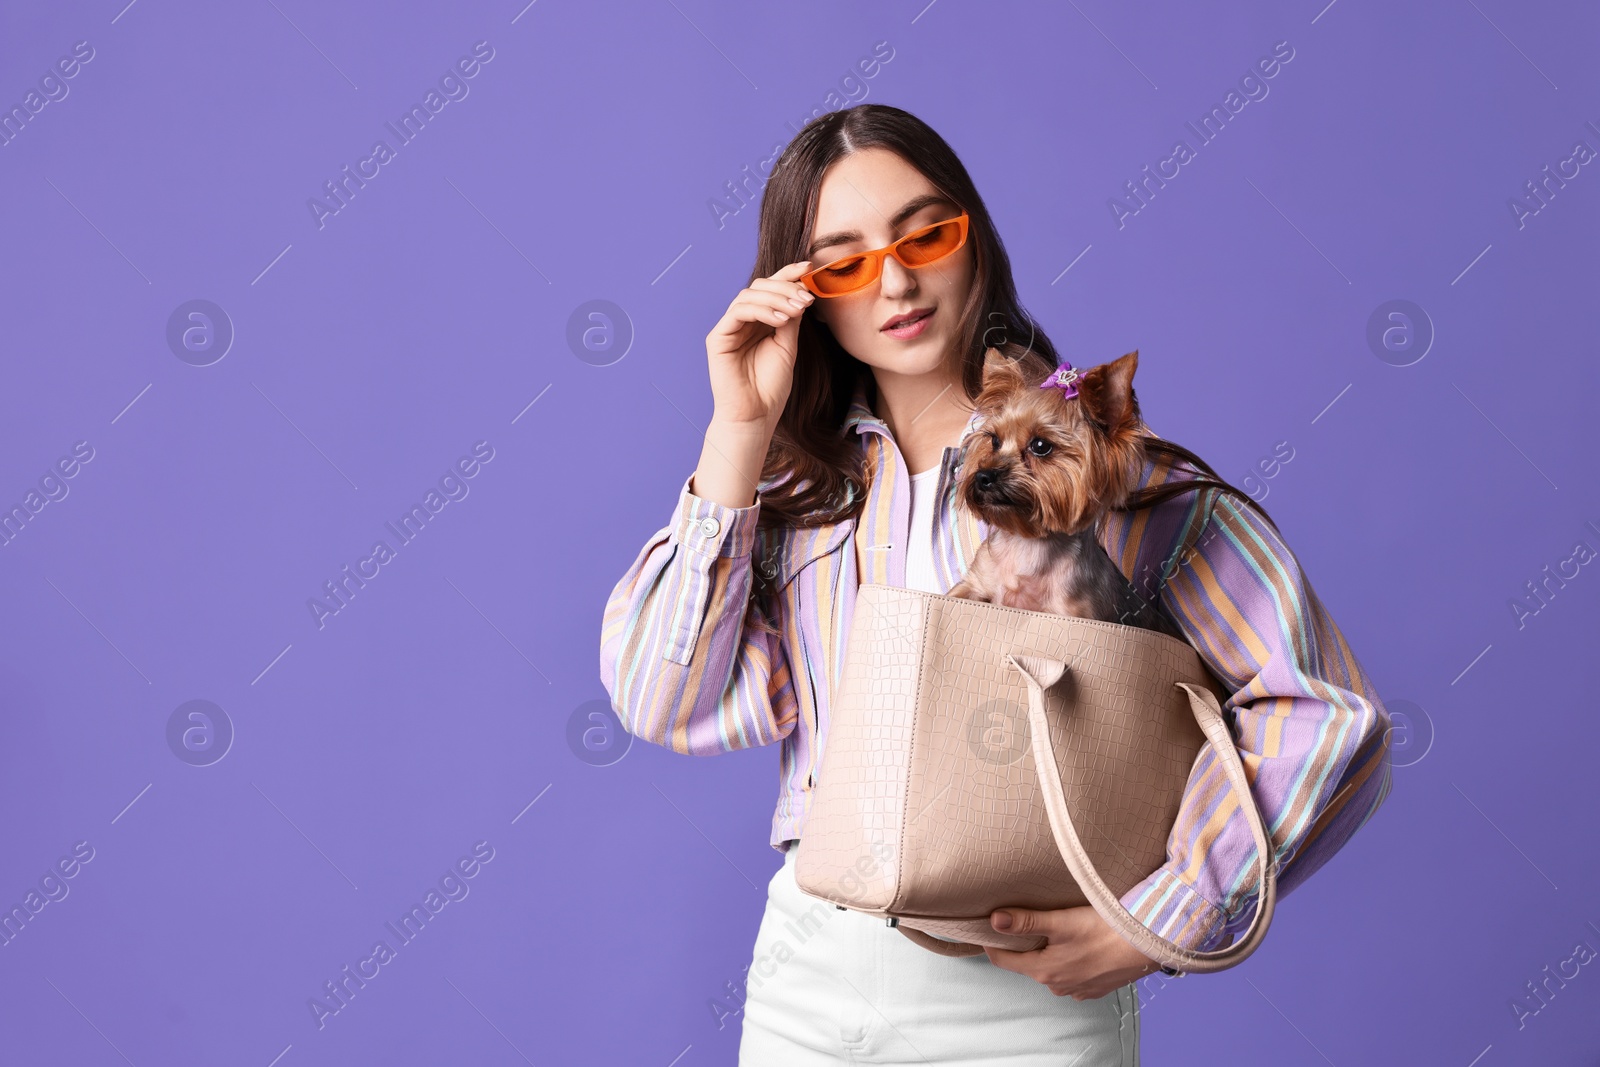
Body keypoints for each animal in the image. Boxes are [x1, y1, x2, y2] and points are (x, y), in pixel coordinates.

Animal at [940, 347, 1184, 639]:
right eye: (994, 440)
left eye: (1040, 446)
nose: (983, 476)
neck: (1029, 544)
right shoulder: (976, 584)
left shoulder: (1072, 615)